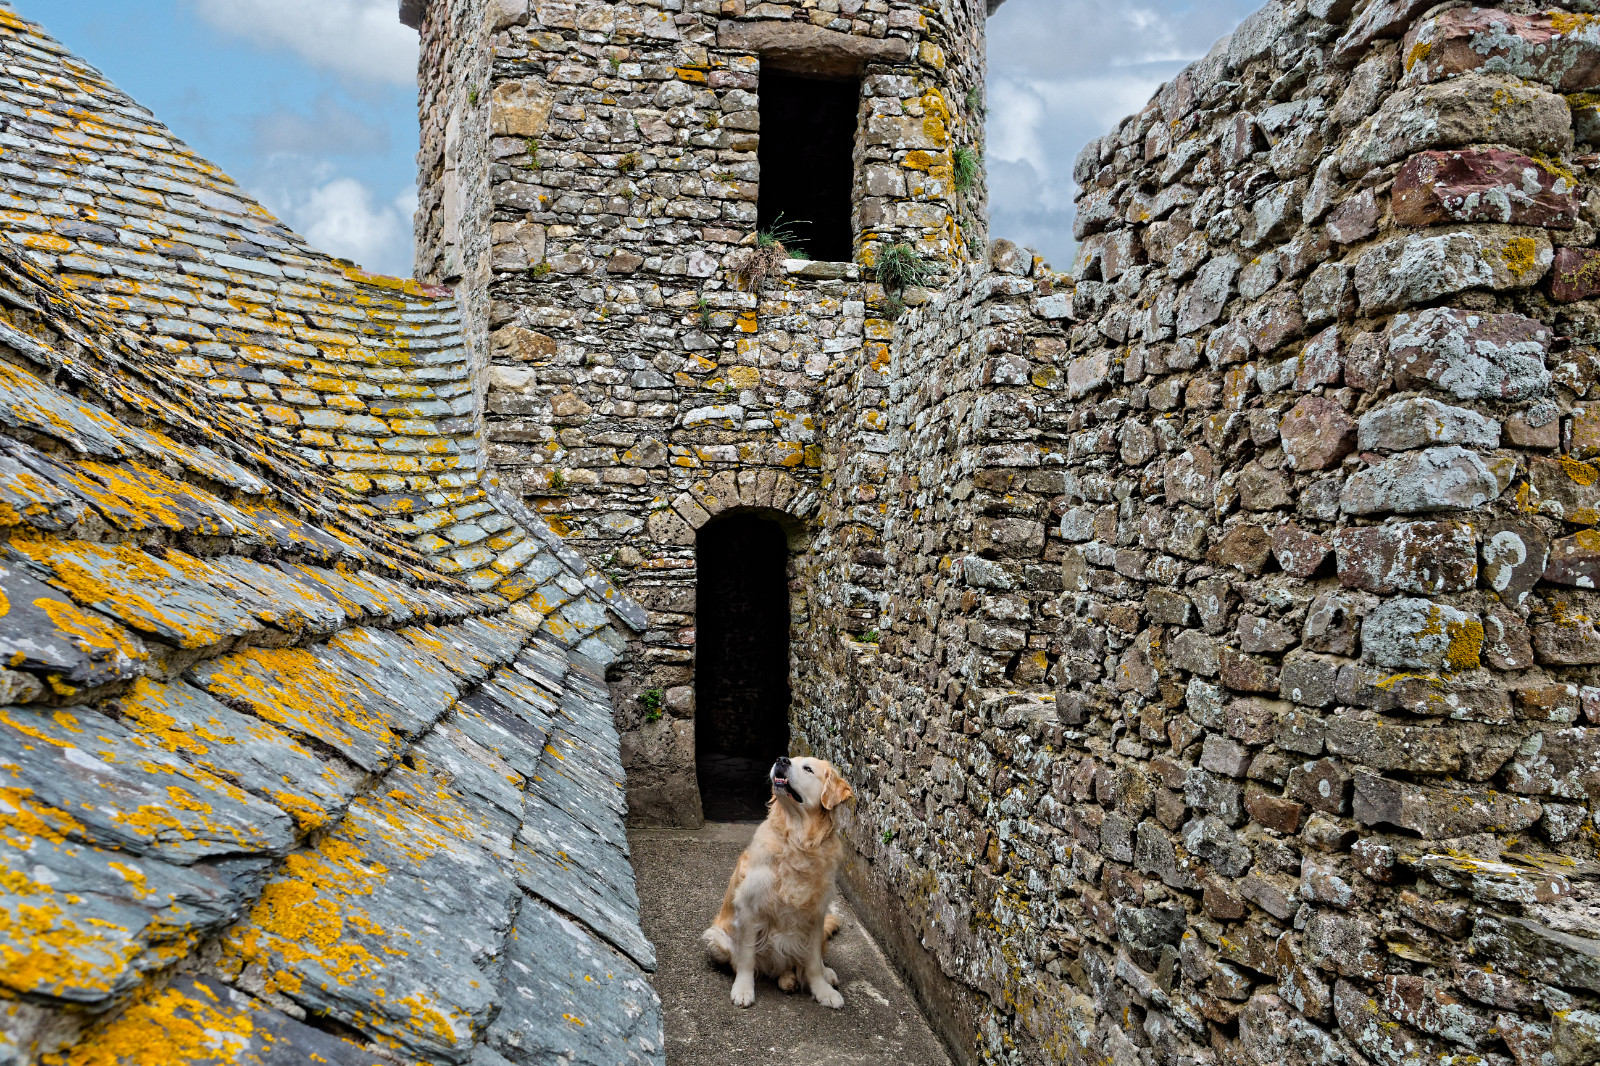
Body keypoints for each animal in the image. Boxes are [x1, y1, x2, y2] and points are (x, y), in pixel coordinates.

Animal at [704, 755, 857, 1005]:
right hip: (716, 939)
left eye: (807, 768)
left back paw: (820, 974)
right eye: (790, 758)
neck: (797, 841)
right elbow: (746, 959)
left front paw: (822, 990)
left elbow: (812, 963)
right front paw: (743, 990)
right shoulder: (749, 909)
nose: (781, 760)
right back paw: (786, 979)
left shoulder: (816, 915)